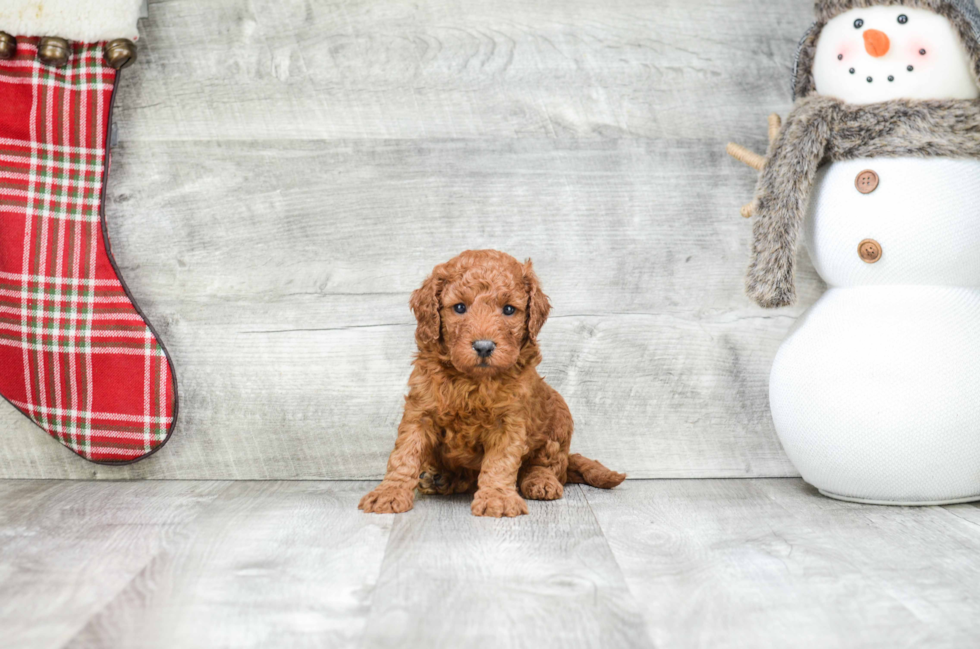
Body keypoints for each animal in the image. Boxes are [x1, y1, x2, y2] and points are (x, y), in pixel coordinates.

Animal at [356, 248, 624, 516]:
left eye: (509, 310)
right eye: (459, 307)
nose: (483, 346)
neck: (471, 381)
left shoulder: (509, 420)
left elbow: (501, 462)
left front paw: (498, 498)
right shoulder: (420, 411)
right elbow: (405, 454)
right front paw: (389, 492)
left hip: (559, 418)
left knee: (549, 465)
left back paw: (541, 481)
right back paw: (441, 478)